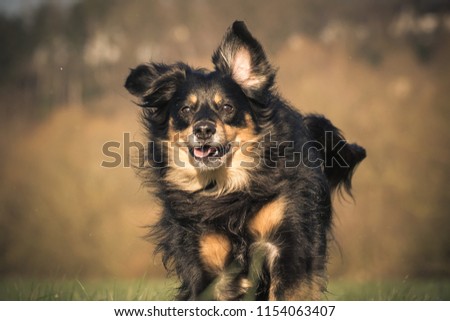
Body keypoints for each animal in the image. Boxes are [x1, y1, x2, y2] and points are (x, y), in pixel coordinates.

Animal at [124, 21, 366, 298]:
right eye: (186, 109)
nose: (204, 129)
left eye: (227, 107)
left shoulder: (289, 243)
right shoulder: (205, 260)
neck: (228, 189)